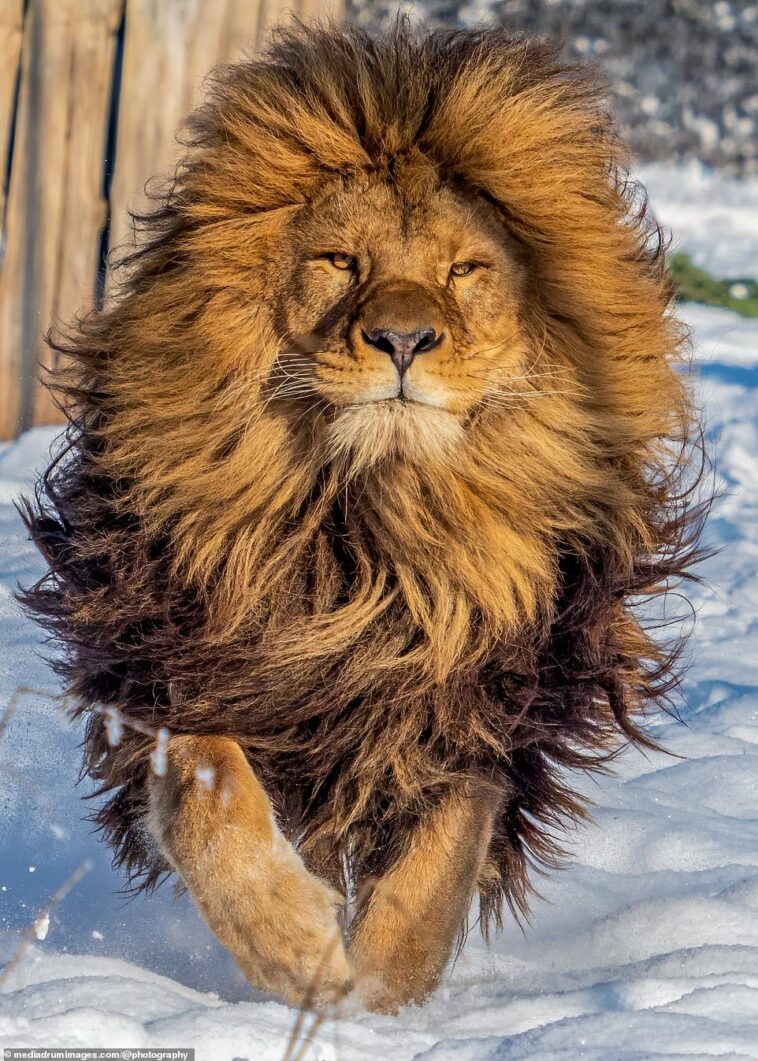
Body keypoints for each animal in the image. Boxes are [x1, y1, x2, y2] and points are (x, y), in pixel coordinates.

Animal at [19, 18, 700, 1010]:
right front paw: (294, 945)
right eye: (340, 261)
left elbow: (437, 867)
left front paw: (381, 1001)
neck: (370, 528)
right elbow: (207, 792)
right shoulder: (169, 659)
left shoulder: (484, 695)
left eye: (465, 270)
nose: (403, 338)